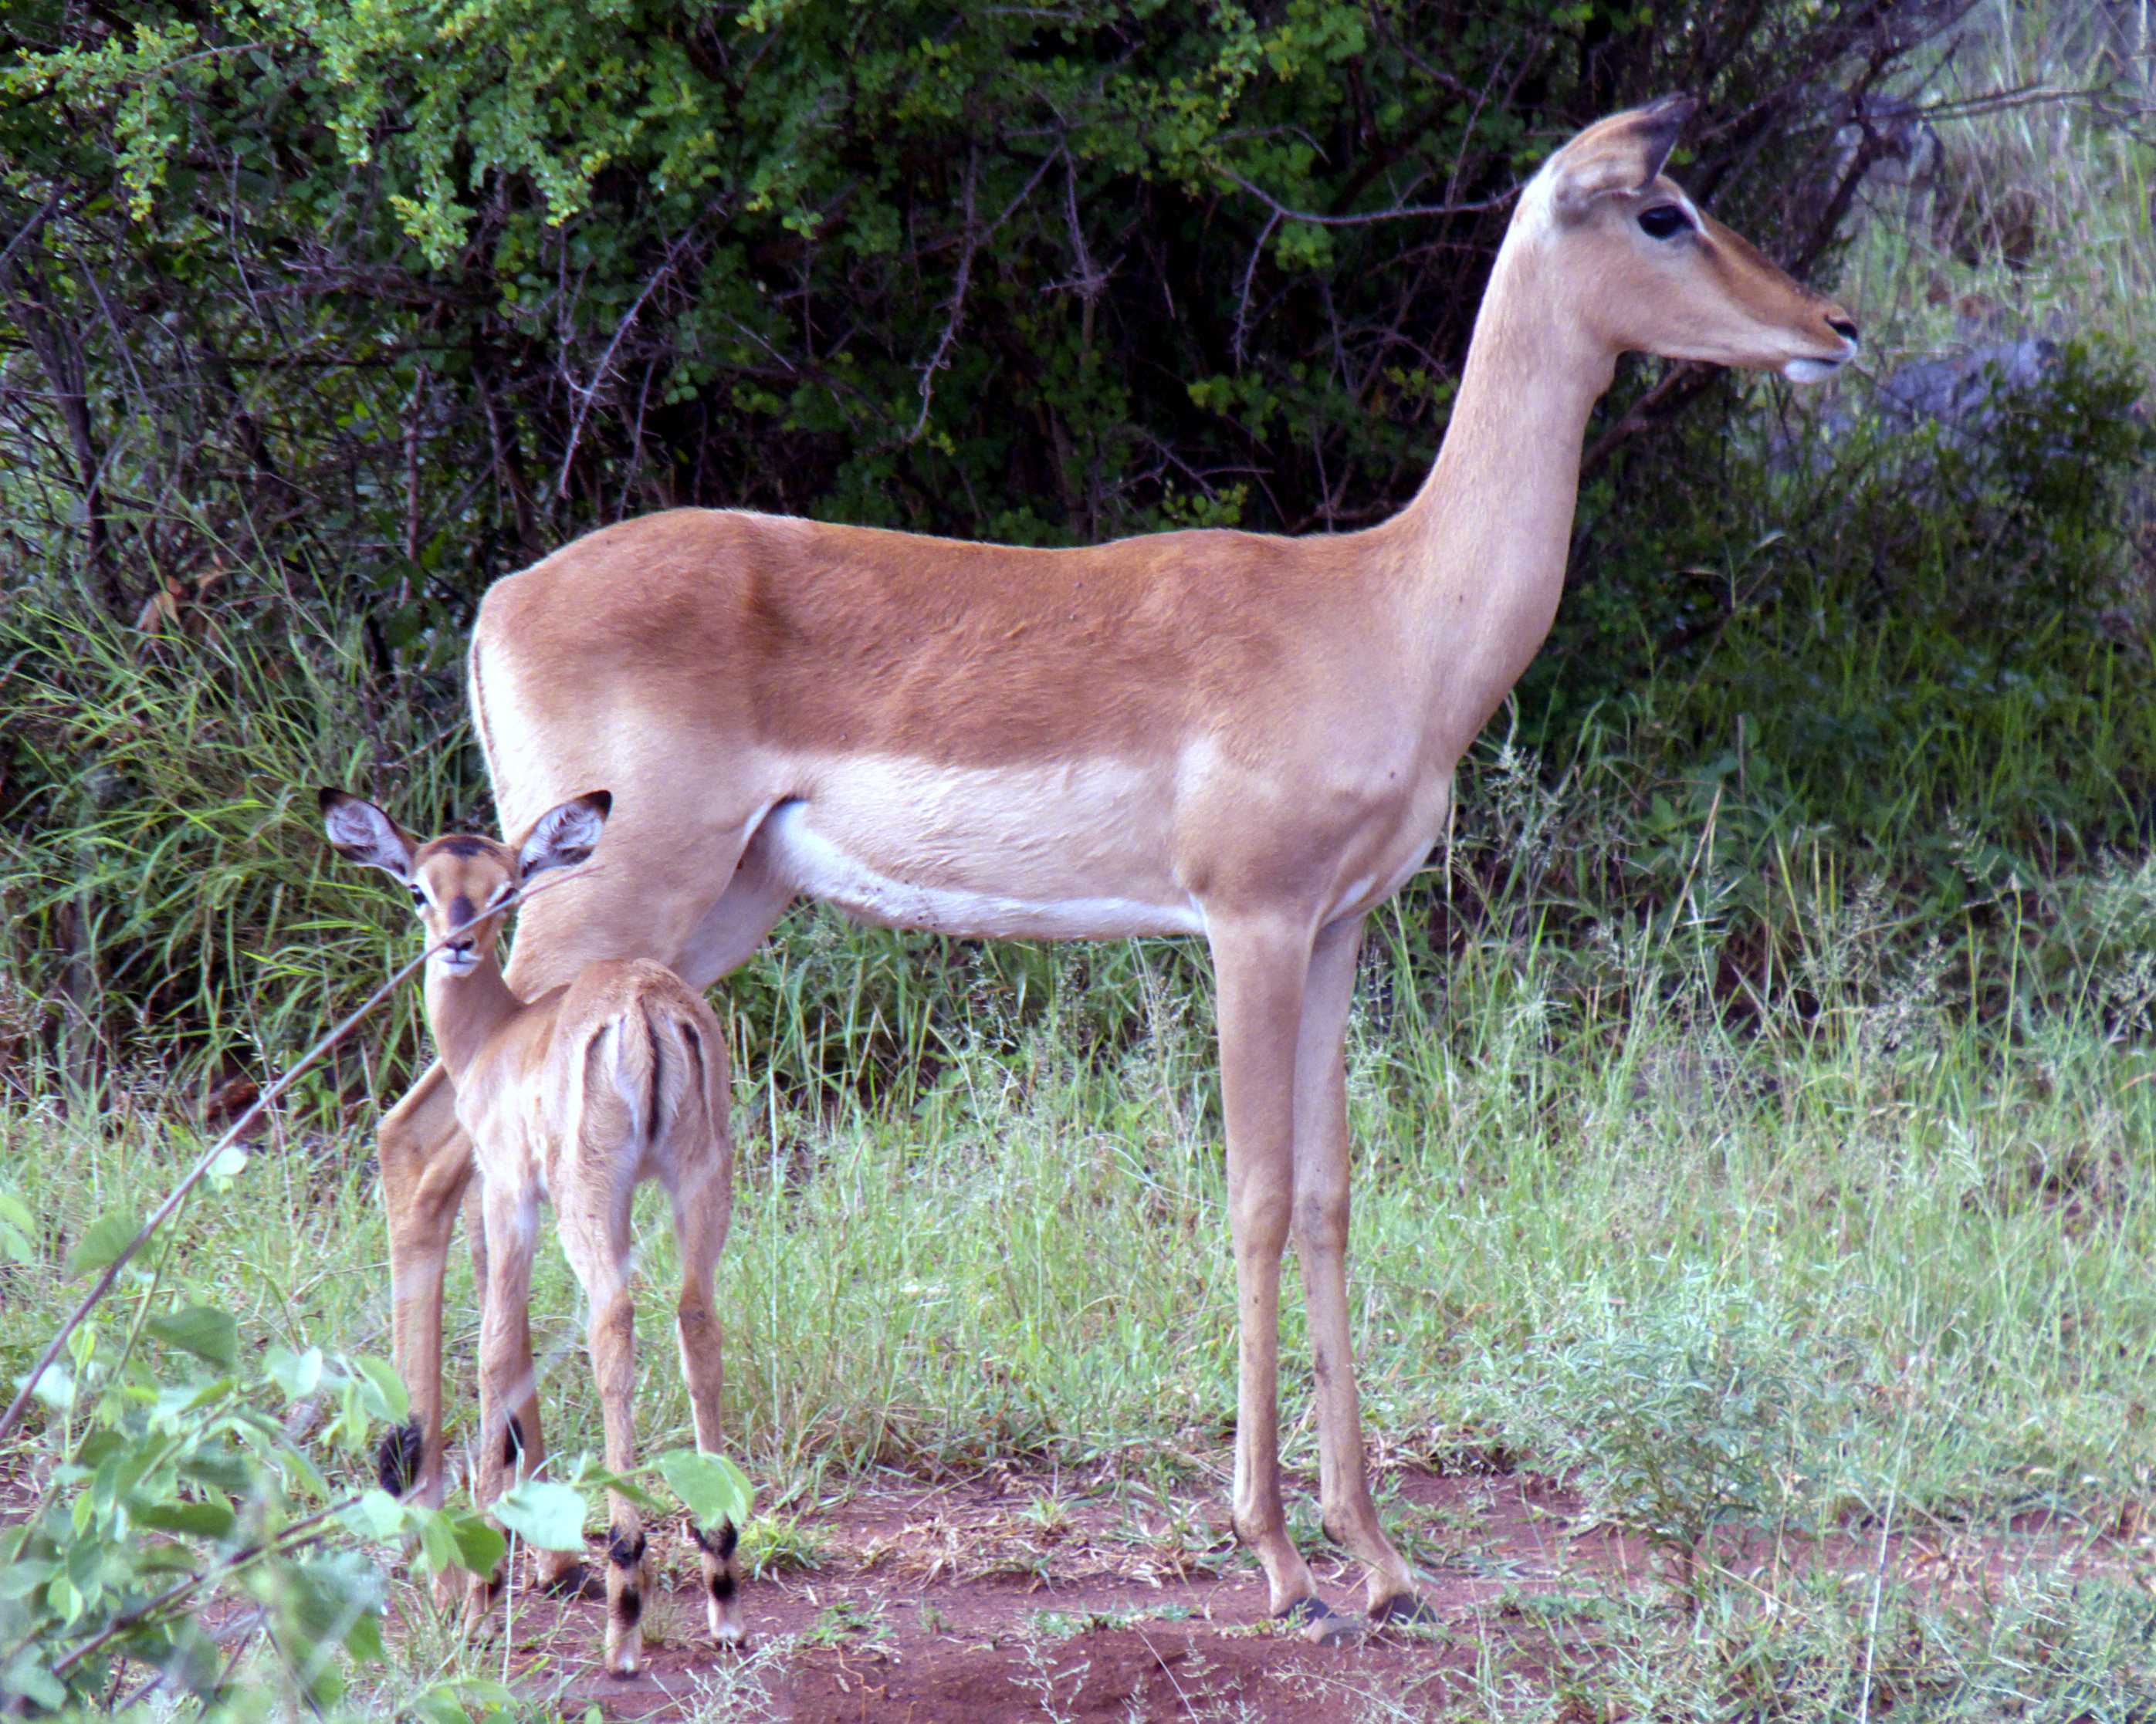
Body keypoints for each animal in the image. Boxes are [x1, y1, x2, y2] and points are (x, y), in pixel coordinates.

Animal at [320, 788, 742, 1675]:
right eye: (419, 885)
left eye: (505, 888)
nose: (456, 943)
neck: (497, 1038)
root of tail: (646, 1005)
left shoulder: (508, 1192)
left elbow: (494, 1348)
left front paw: (480, 1590)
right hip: (700, 1184)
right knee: (697, 1320)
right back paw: (723, 1586)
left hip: (593, 1199)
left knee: (612, 1322)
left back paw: (623, 1602)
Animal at [359, 97, 1858, 1643]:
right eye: (1662, 211)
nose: (1834, 323)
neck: (1387, 608)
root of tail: (502, 599)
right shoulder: (1248, 924)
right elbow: (1255, 1196)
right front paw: (1278, 1560)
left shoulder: (1338, 932)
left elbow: (1330, 1196)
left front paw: (1380, 1558)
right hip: (592, 907)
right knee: (432, 1143)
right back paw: (474, 1544)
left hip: (704, 908)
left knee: (446, 1155)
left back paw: (507, 1536)